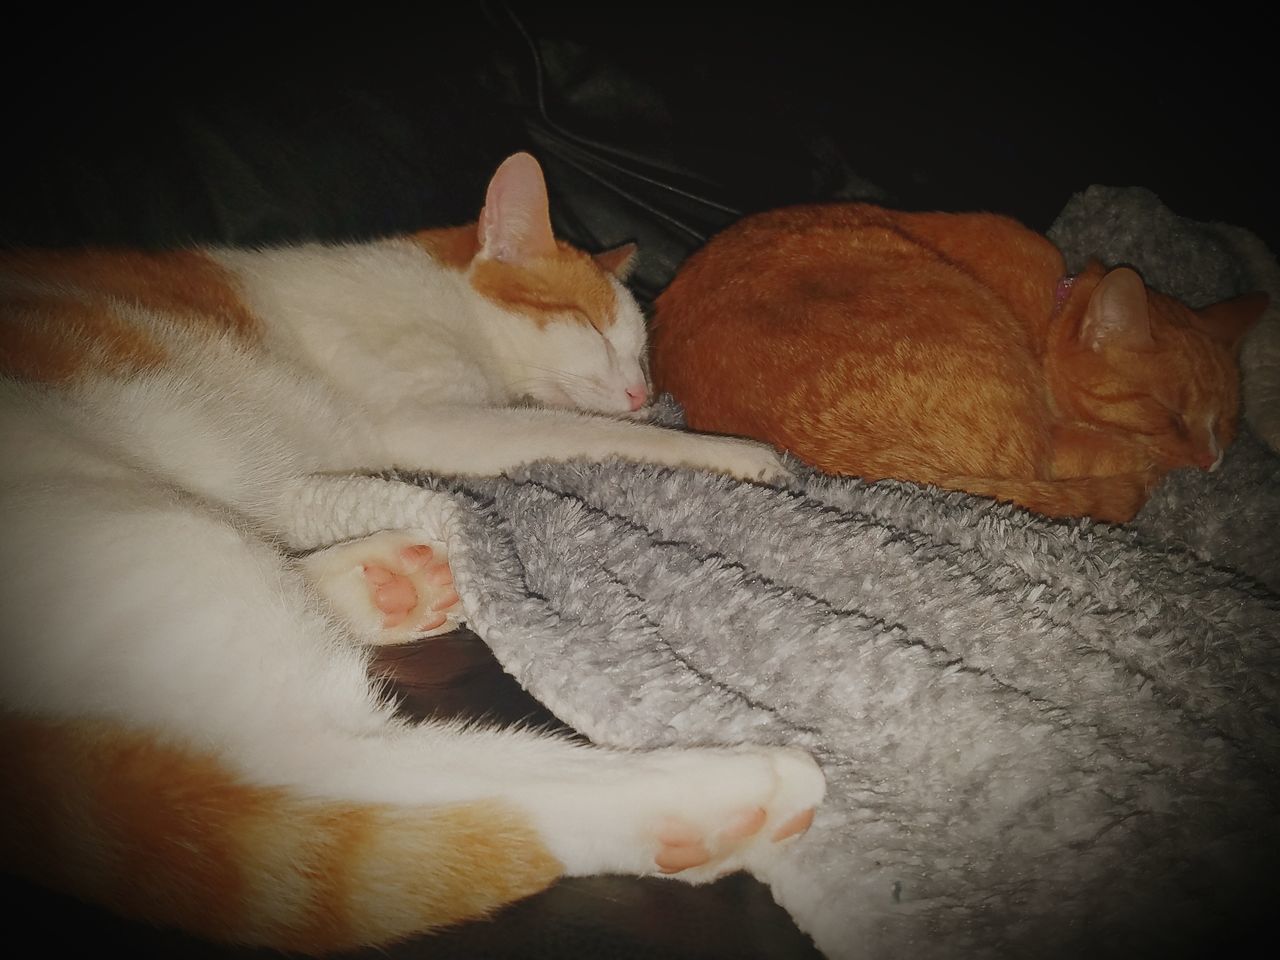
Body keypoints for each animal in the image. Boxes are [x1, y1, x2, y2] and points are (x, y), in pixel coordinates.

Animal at [0, 152, 819, 957]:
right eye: (591, 326)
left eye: (644, 354)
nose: (640, 392)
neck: (440, 302)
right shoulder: (427, 419)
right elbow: (596, 437)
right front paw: (732, 454)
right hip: (162, 534)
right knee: (348, 763)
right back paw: (733, 795)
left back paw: (390, 580)